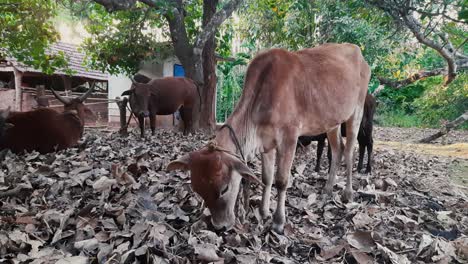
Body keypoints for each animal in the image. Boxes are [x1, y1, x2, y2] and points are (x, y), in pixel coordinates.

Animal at [167, 43, 370, 233]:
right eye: (197, 190)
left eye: (224, 188)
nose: (220, 226)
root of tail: (358, 53)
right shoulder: (267, 143)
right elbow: (267, 178)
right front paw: (264, 212)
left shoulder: (289, 138)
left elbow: (281, 181)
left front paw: (278, 222)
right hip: (332, 122)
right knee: (337, 150)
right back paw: (327, 189)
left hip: (356, 112)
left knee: (349, 152)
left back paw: (348, 193)